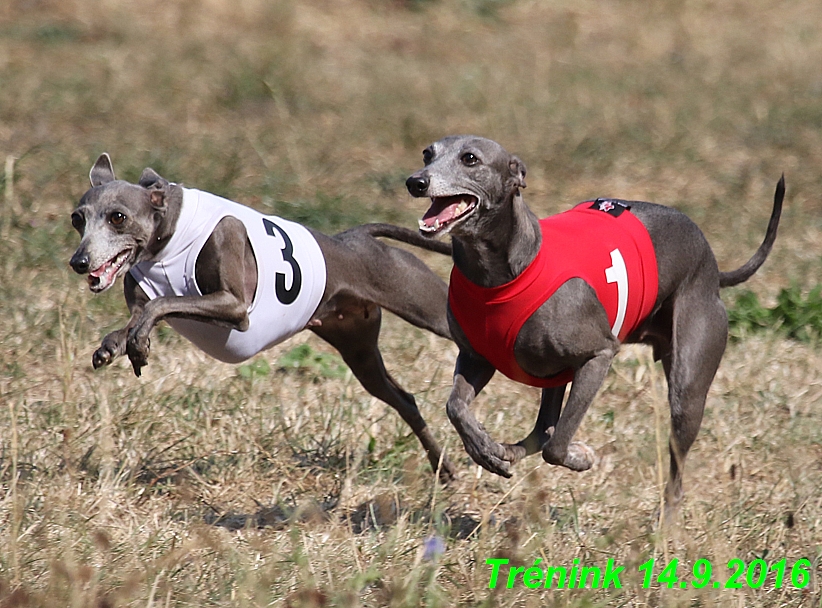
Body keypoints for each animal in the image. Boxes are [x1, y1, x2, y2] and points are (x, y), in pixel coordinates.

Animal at [70, 154, 458, 478]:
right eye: (77, 219)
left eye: (117, 217)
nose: (79, 262)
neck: (171, 234)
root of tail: (356, 237)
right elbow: (139, 317)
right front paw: (117, 345)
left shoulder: (234, 307)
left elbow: (160, 305)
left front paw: (138, 344)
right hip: (359, 351)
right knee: (405, 400)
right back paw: (444, 468)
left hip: (430, 310)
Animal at [406, 137, 784, 512]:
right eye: (427, 154)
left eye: (470, 159)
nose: (415, 182)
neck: (498, 275)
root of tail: (713, 264)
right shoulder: (477, 358)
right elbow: (456, 406)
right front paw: (483, 447)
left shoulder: (598, 356)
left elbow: (557, 446)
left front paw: (580, 456)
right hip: (553, 370)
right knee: (542, 428)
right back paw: (505, 450)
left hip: (687, 385)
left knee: (669, 467)